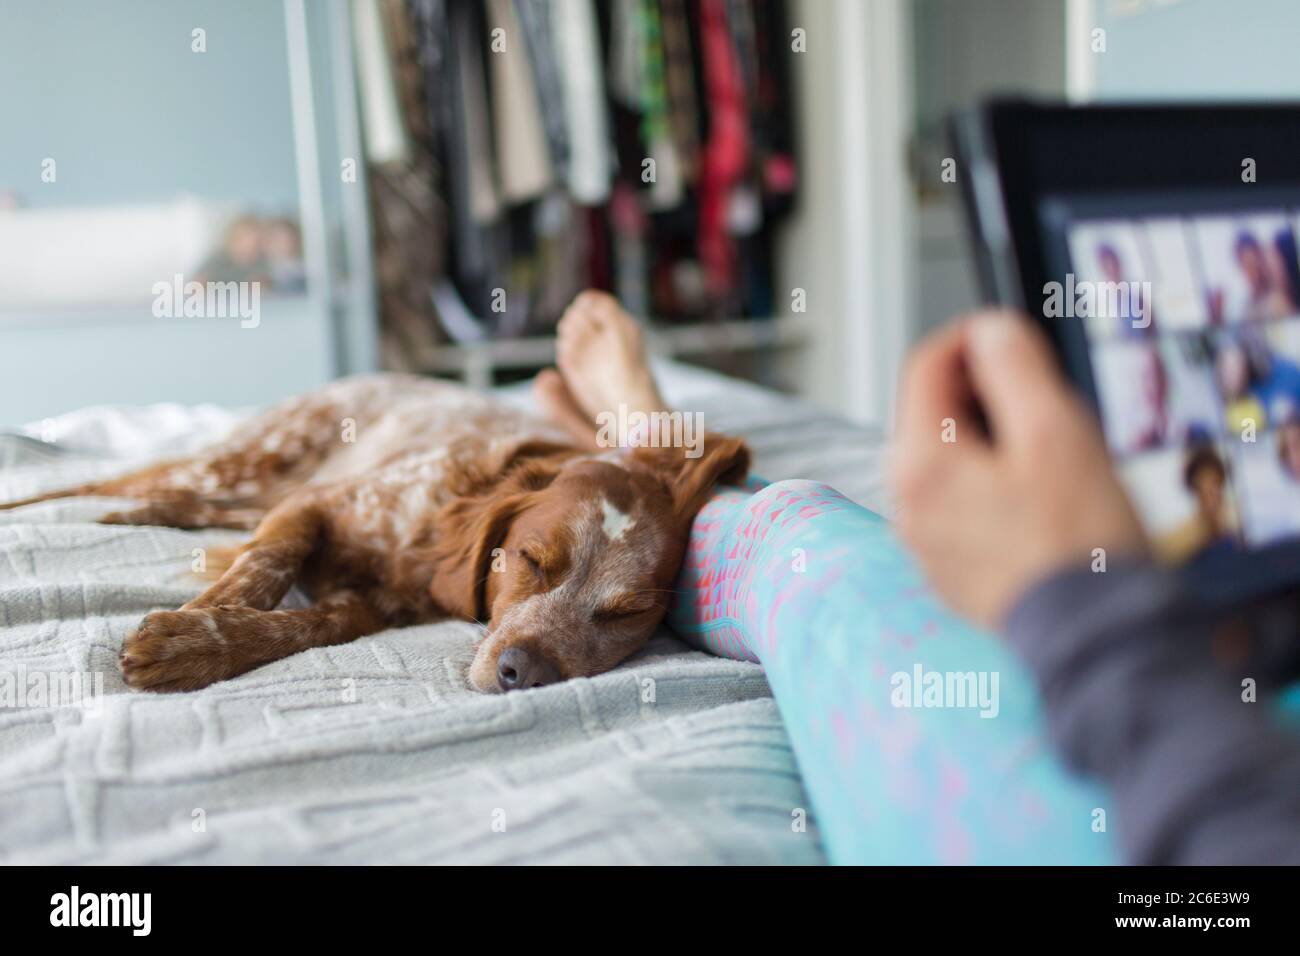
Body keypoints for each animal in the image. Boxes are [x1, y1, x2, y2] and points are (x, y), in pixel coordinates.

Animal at [0, 374, 748, 697]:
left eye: (625, 615)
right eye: (532, 560)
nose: (524, 673)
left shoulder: (372, 604)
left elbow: (309, 624)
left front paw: (204, 644)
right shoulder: (316, 505)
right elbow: (267, 566)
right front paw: (196, 624)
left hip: (233, 494)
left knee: (160, 501)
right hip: (244, 464)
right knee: (98, 483)